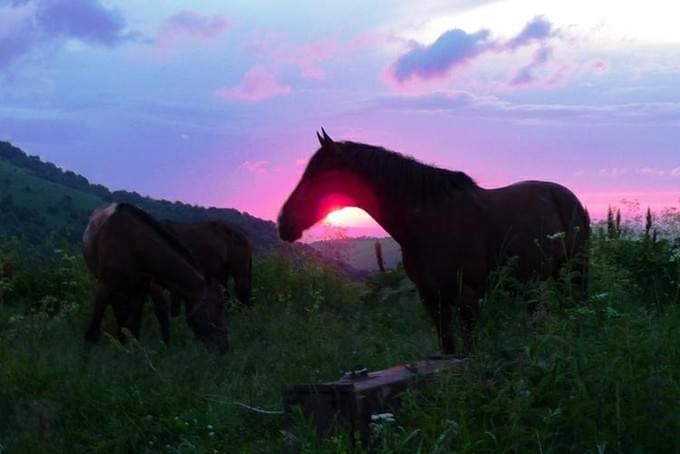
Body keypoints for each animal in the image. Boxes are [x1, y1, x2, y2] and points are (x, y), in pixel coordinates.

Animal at [81, 203, 230, 354]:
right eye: (219, 307)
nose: (224, 347)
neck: (133, 243)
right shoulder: (104, 286)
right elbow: (93, 332)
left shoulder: (140, 289)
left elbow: (135, 327)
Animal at [278, 129, 588, 356]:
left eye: (318, 176)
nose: (284, 223)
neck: (426, 223)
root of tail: (568, 197)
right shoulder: (432, 300)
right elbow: (448, 350)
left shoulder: (467, 298)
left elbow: (469, 351)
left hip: (574, 273)